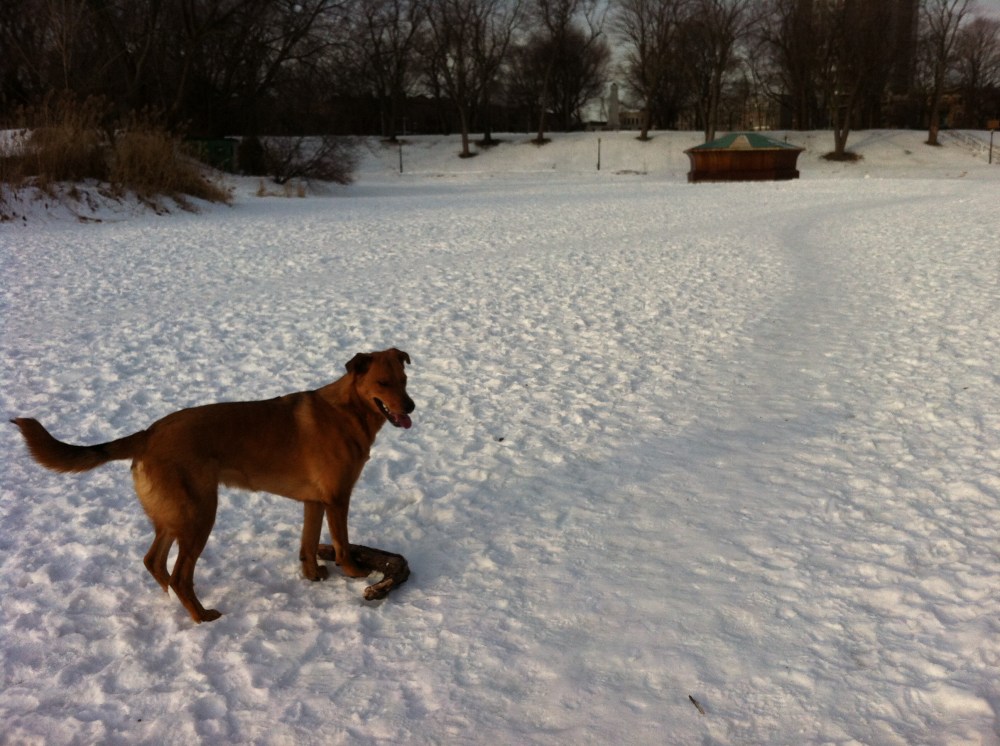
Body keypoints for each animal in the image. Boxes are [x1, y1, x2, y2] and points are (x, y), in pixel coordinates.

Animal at [11, 348, 414, 623]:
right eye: (383, 383)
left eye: (405, 380)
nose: (410, 406)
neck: (349, 411)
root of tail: (148, 434)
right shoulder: (336, 499)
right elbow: (342, 544)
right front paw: (355, 574)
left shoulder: (313, 502)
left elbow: (307, 545)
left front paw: (313, 577)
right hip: (199, 515)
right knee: (179, 575)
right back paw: (202, 616)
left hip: (175, 516)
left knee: (154, 561)